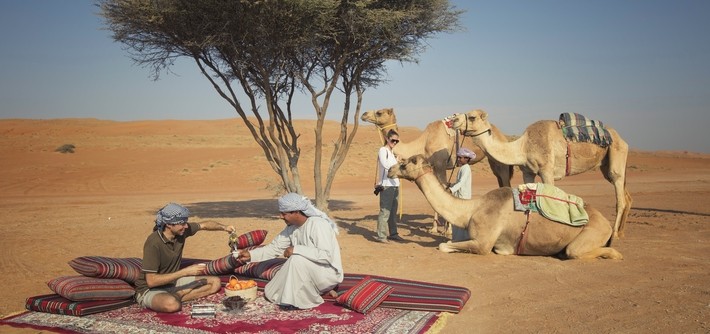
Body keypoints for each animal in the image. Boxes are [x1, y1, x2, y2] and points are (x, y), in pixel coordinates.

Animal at [390, 155, 624, 260]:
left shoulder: (483, 243)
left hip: (592, 233)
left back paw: (614, 254)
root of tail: (606, 222)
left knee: (577, 251)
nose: (391, 170)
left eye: (405, 163)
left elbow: (443, 245)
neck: (471, 210)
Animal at [450, 109, 636, 240]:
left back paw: (615, 233)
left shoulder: (547, 170)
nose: (454, 119)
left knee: (619, 195)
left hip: (616, 155)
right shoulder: (527, 172)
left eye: (472, 117)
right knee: (626, 195)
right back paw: (622, 232)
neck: (523, 147)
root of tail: (622, 139)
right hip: (606, 165)